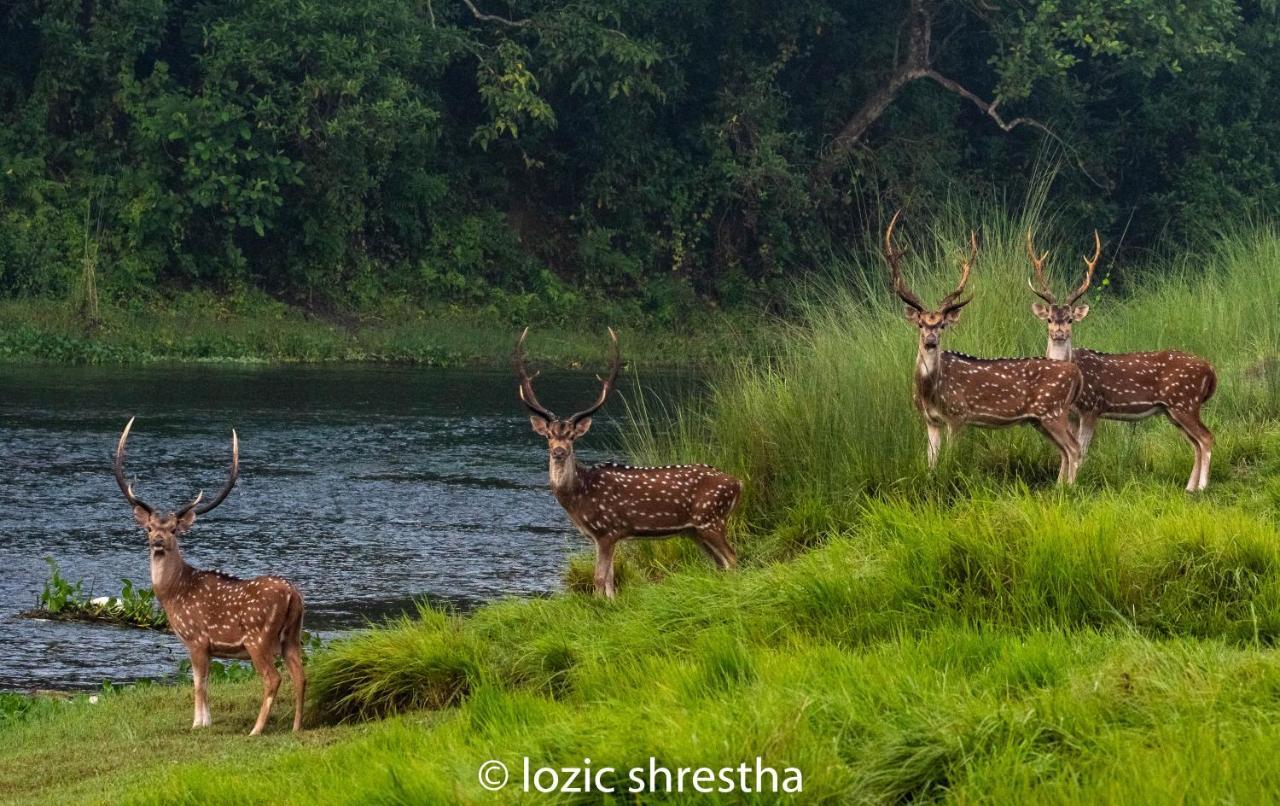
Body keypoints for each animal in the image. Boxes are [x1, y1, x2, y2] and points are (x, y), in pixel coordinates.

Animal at [111, 419, 305, 736]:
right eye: (149, 528)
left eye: (174, 529)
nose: (158, 542)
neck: (173, 594)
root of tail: (293, 595)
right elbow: (203, 683)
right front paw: (206, 721)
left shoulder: (197, 639)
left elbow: (198, 684)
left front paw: (198, 724)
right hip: (293, 635)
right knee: (301, 674)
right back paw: (297, 727)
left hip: (259, 637)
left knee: (273, 678)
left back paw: (256, 729)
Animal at [514, 327, 747, 601]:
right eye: (549, 435)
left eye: (572, 436)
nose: (559, 451)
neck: (580, 496)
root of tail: (738, 483)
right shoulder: (603, 536)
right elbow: (610, 580)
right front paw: (611, 603)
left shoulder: (608, 529)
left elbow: (599, 579)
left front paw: (598, 605)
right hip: (695, 530)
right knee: (720, 562)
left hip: (711, 518)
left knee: (733, 558)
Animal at [885, 209, 1085, 486]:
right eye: (922, 324)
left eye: (942, 325)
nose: (931, 341)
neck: (930, 391)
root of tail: (1076, 373)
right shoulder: (930, 421)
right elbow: (931, 464)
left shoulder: (958, 415)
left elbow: (950, 461)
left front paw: (950, 485)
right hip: (1041, 419)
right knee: (1067, 450)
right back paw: (1060, 488)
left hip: (1052, 411)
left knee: (1075, 448)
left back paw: (1069, 489)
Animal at [1018, 229, 1218, 493]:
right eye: (1049, 319)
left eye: (1070, 319)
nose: (1059, 332)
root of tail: (1211, 370)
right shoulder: (1070, 413)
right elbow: (1064, 451)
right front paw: (1060, 486)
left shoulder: (1092, 406)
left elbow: (1080, 450)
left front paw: (1072, 486)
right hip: (1174, 409)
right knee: (1195, 443)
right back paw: (1189, 487)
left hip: (1185, 402)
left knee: (1206, 438)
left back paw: (1202, 487)